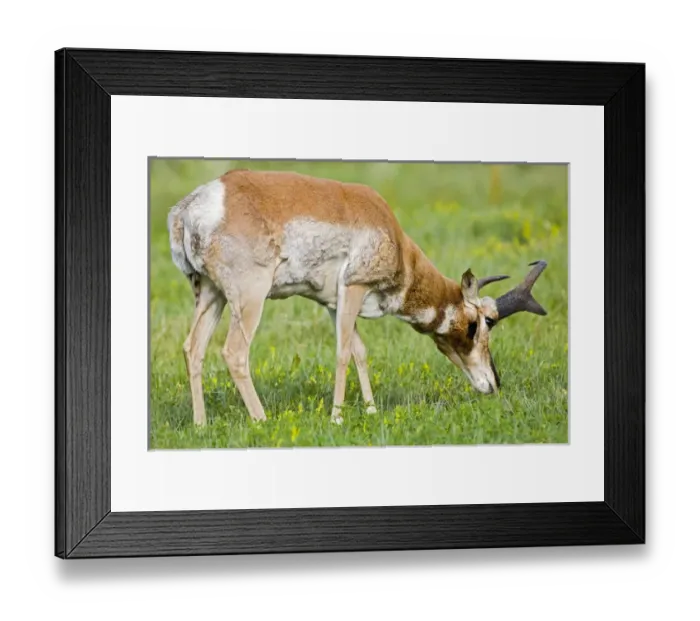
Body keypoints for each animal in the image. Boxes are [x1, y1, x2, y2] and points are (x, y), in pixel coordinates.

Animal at [167, 169, 548, 426]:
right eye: (479, 324)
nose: (494, 384)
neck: (396, 242)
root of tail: (193, 206)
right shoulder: (352, 287)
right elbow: (343, 352)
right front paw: (337, 419)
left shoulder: (332, 303)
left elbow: (359, 351)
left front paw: (371, 410)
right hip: (249, 298)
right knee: (234, 352)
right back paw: (262, 421)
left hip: (211, 294)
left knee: (192, 347)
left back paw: (201, 425)